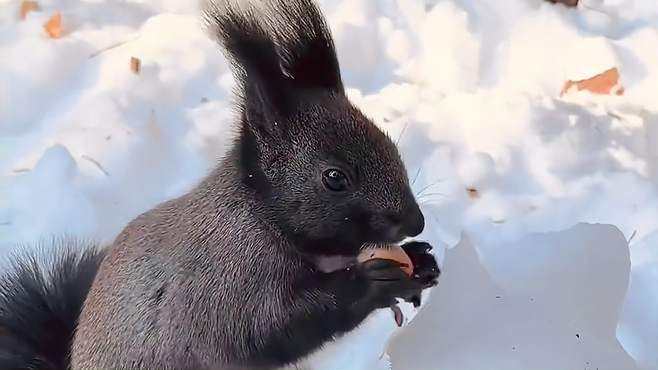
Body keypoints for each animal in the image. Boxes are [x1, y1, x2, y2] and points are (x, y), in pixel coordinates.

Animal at [1, 0, 440, 368]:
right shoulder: (229, 284)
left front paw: (420, 260)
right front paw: (374, 282)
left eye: (389, 142)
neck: (260, 215)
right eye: (335, 178)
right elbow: (277, 326)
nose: (415, 222)